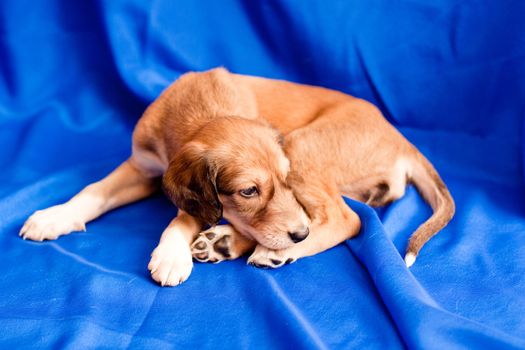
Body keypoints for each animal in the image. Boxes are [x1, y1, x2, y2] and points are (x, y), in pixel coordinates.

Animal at [20, 67, 452, 284]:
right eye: (249, 191)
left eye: (283, 180)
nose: (299, 235)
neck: (195, 109)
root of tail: (399, 137)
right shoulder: (142, 166)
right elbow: (93, 191)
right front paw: (54, 216)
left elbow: (183, 215)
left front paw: (171, 254)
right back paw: (226, 243)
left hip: (302, 147)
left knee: (346, 220)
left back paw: (266, 250)